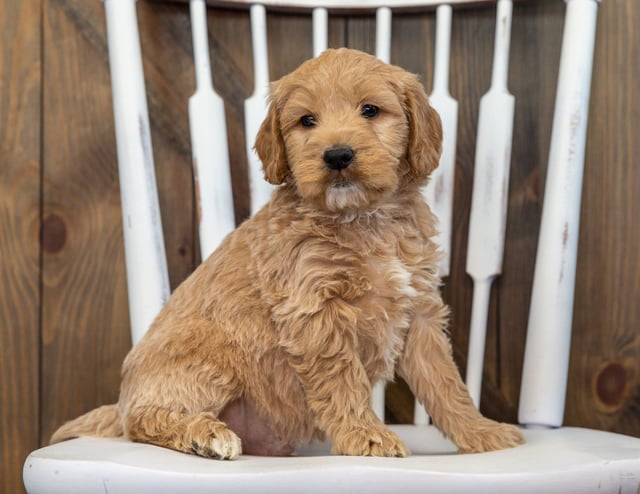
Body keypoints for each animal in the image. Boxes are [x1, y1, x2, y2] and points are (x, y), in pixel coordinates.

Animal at [51, 48, 524, 458]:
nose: (337, 155)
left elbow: (446, 383)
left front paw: (481, 432)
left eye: (370, 110)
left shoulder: (419, 311)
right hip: (208, 356)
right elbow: (343, 380)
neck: (364, 219)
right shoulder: (313, 310)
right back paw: (204, 434)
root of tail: (122, 399)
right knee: (145, 420)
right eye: (306, 121)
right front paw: (366, 435)